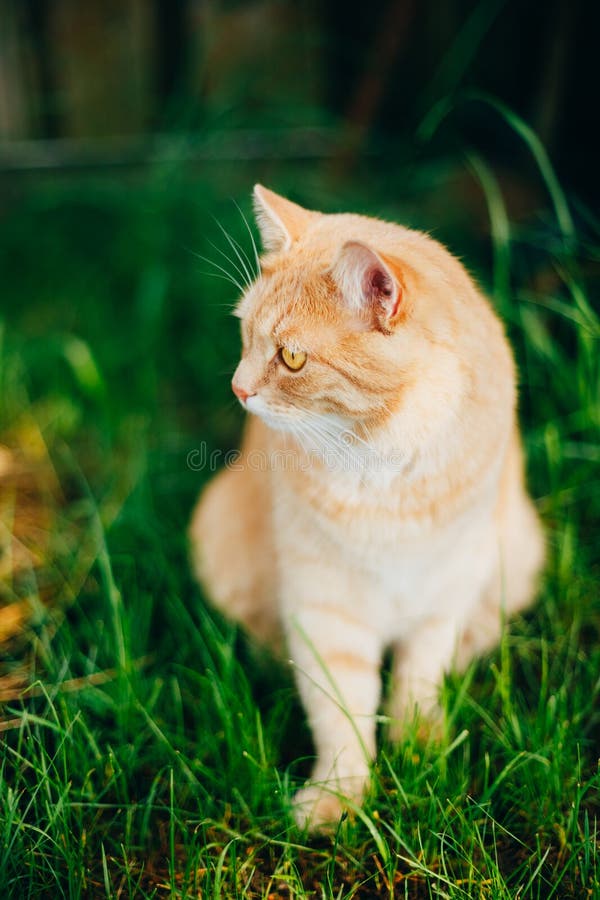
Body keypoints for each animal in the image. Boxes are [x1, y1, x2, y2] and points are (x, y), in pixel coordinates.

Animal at [190, 183, 548, 828]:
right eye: (245, 335)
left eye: (292, 358)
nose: (239, 388)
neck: (385, 469)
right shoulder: (325, 611)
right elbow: (341, 710)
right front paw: (339, 795)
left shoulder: (443, 593)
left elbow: (418, 680)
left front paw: (421, 751)